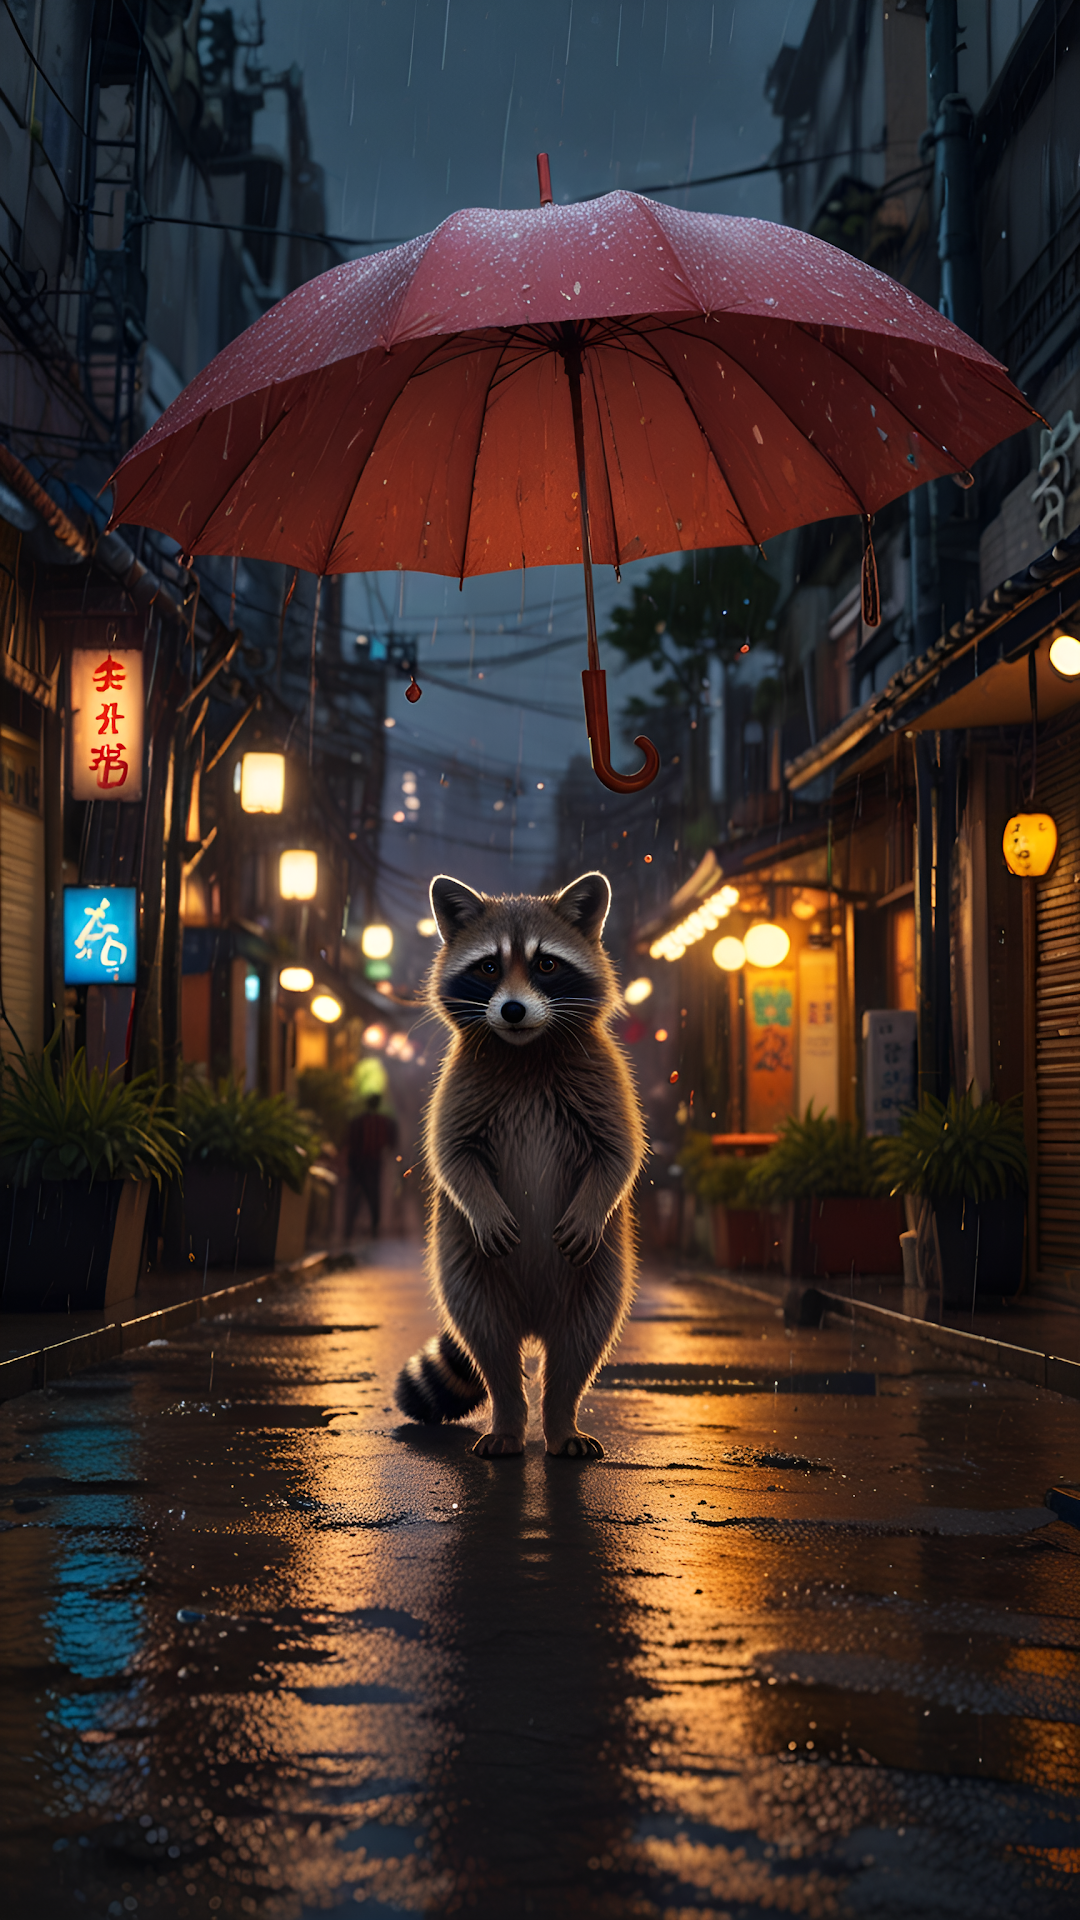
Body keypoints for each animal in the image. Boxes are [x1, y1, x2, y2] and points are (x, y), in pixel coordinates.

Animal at [395, 872, 646, 1458]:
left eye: (546, 964)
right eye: (488, 967)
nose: (511, 1010)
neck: (527, 1049)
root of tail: (533, 1321)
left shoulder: (606, 1075)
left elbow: (620, 1151)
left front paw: (595, 1199)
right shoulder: (459, 1083)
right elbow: (450, 1153)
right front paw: (481, 1202)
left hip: (602, 1269)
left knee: (582, 1343)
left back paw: (561, 1419)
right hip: (465, 1264)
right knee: (489, 1342)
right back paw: (508, 1419)